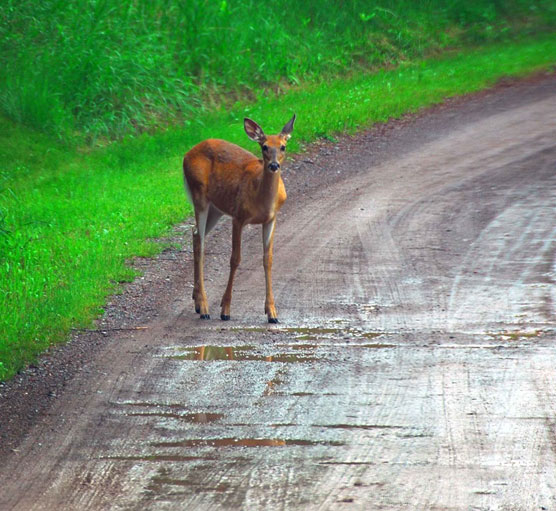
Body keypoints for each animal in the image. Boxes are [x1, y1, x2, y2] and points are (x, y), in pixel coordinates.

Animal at [182, 115, 296, 324]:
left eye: (283, 146)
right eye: (264, 146)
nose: (273, 165)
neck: (261, 199)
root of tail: (187, 154)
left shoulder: (271, 219)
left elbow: (268, 259)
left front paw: (272, 312)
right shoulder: (238, 216)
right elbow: (235, 259)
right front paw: (225, 309)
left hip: (216, 208)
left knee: (194, 233)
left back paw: (196, 301)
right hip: (199, 194)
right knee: (201, 243)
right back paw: (204, 307)